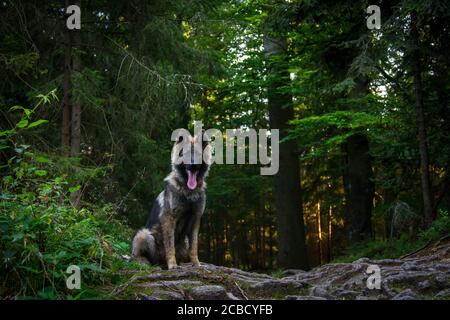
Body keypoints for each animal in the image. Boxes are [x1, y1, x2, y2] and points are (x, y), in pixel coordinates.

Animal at [132, 131, 213, 268]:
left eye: (198, 154)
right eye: (186, 154)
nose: (193, 165)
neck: (188, 192)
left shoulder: (195, 219)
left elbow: (194, 245)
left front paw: (196, 263)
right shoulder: (169, 219)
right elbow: (170, 245)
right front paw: (172, 264)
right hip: (144, 234)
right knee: (136, 255)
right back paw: (145, 261)